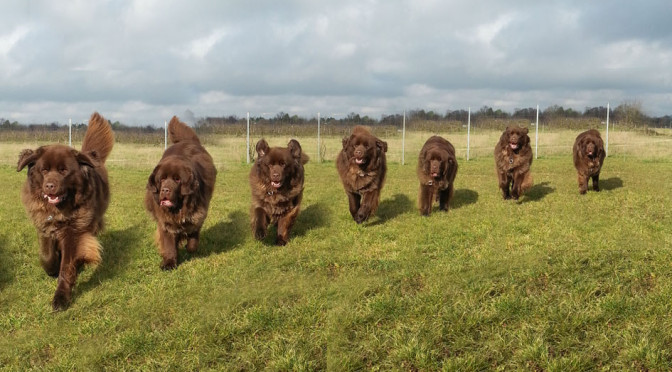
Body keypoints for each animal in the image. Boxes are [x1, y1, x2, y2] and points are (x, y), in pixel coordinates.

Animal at [17, 112, 114, 310]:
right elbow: (46, 256)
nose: (49, 186)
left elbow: (67, 265)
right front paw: (52, 268)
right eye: (44, 170)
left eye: (63, 171)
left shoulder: (73, 231)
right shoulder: (44, 226)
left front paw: (61, 297)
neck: (60, 209)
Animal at [145, 117, 217, 270]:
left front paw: (189, 247)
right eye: (162, 179)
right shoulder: (165, 222)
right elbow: (168, 243)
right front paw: (169, 262)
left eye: (177, 179)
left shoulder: (198, 214)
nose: (165, 190)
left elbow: (193, 234)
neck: (178, 209)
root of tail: (187, 140)